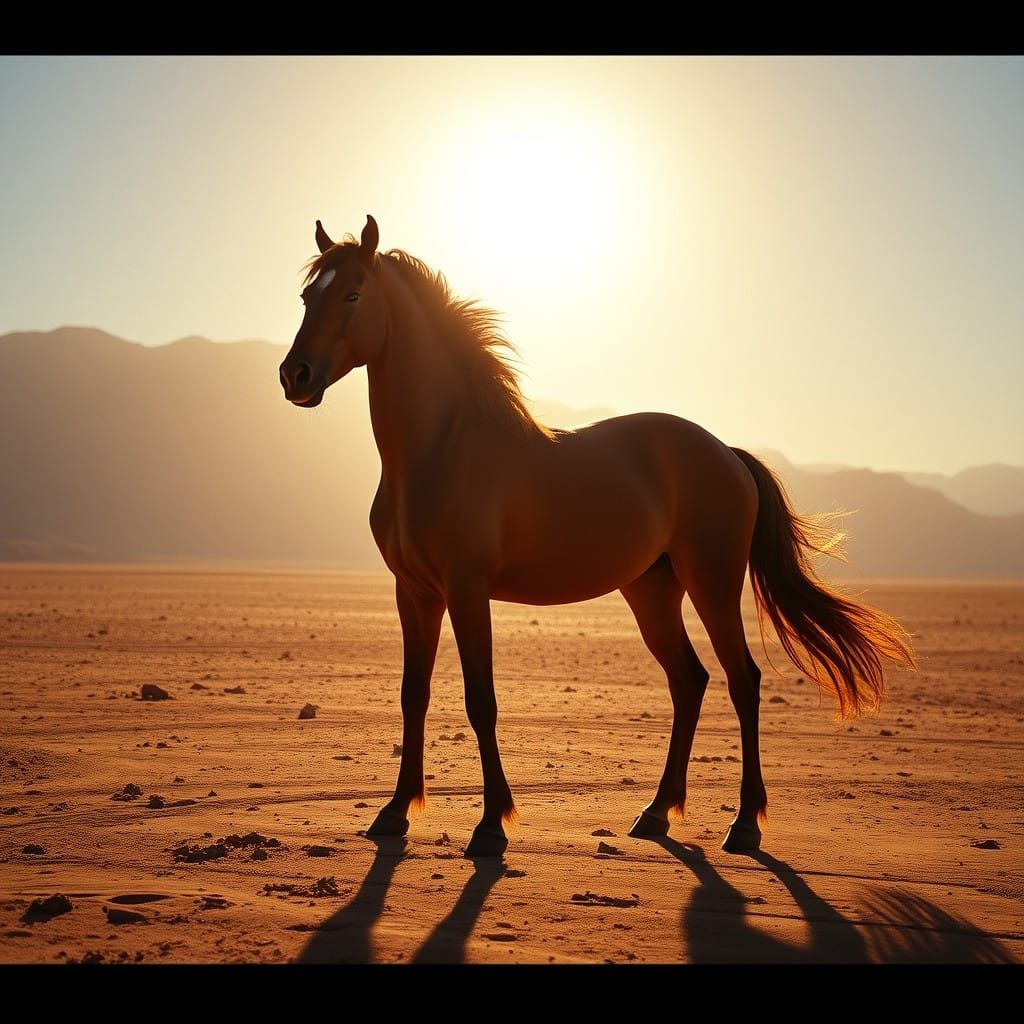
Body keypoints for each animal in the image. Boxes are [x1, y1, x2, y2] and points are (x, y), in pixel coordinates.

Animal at [279, 214, 916, 857]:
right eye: (308, 296)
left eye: (353, 294)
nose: (294, 376)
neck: (441, 449)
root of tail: (726, 453)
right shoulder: (413, 593)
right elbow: (414, 695)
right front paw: (394, 812)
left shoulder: (467, 590)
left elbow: (481, 700)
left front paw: (491, 825)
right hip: (651, 591)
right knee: (689, 681)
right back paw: (656, 813)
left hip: (711, 584)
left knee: (743, 681)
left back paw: (743, 824)